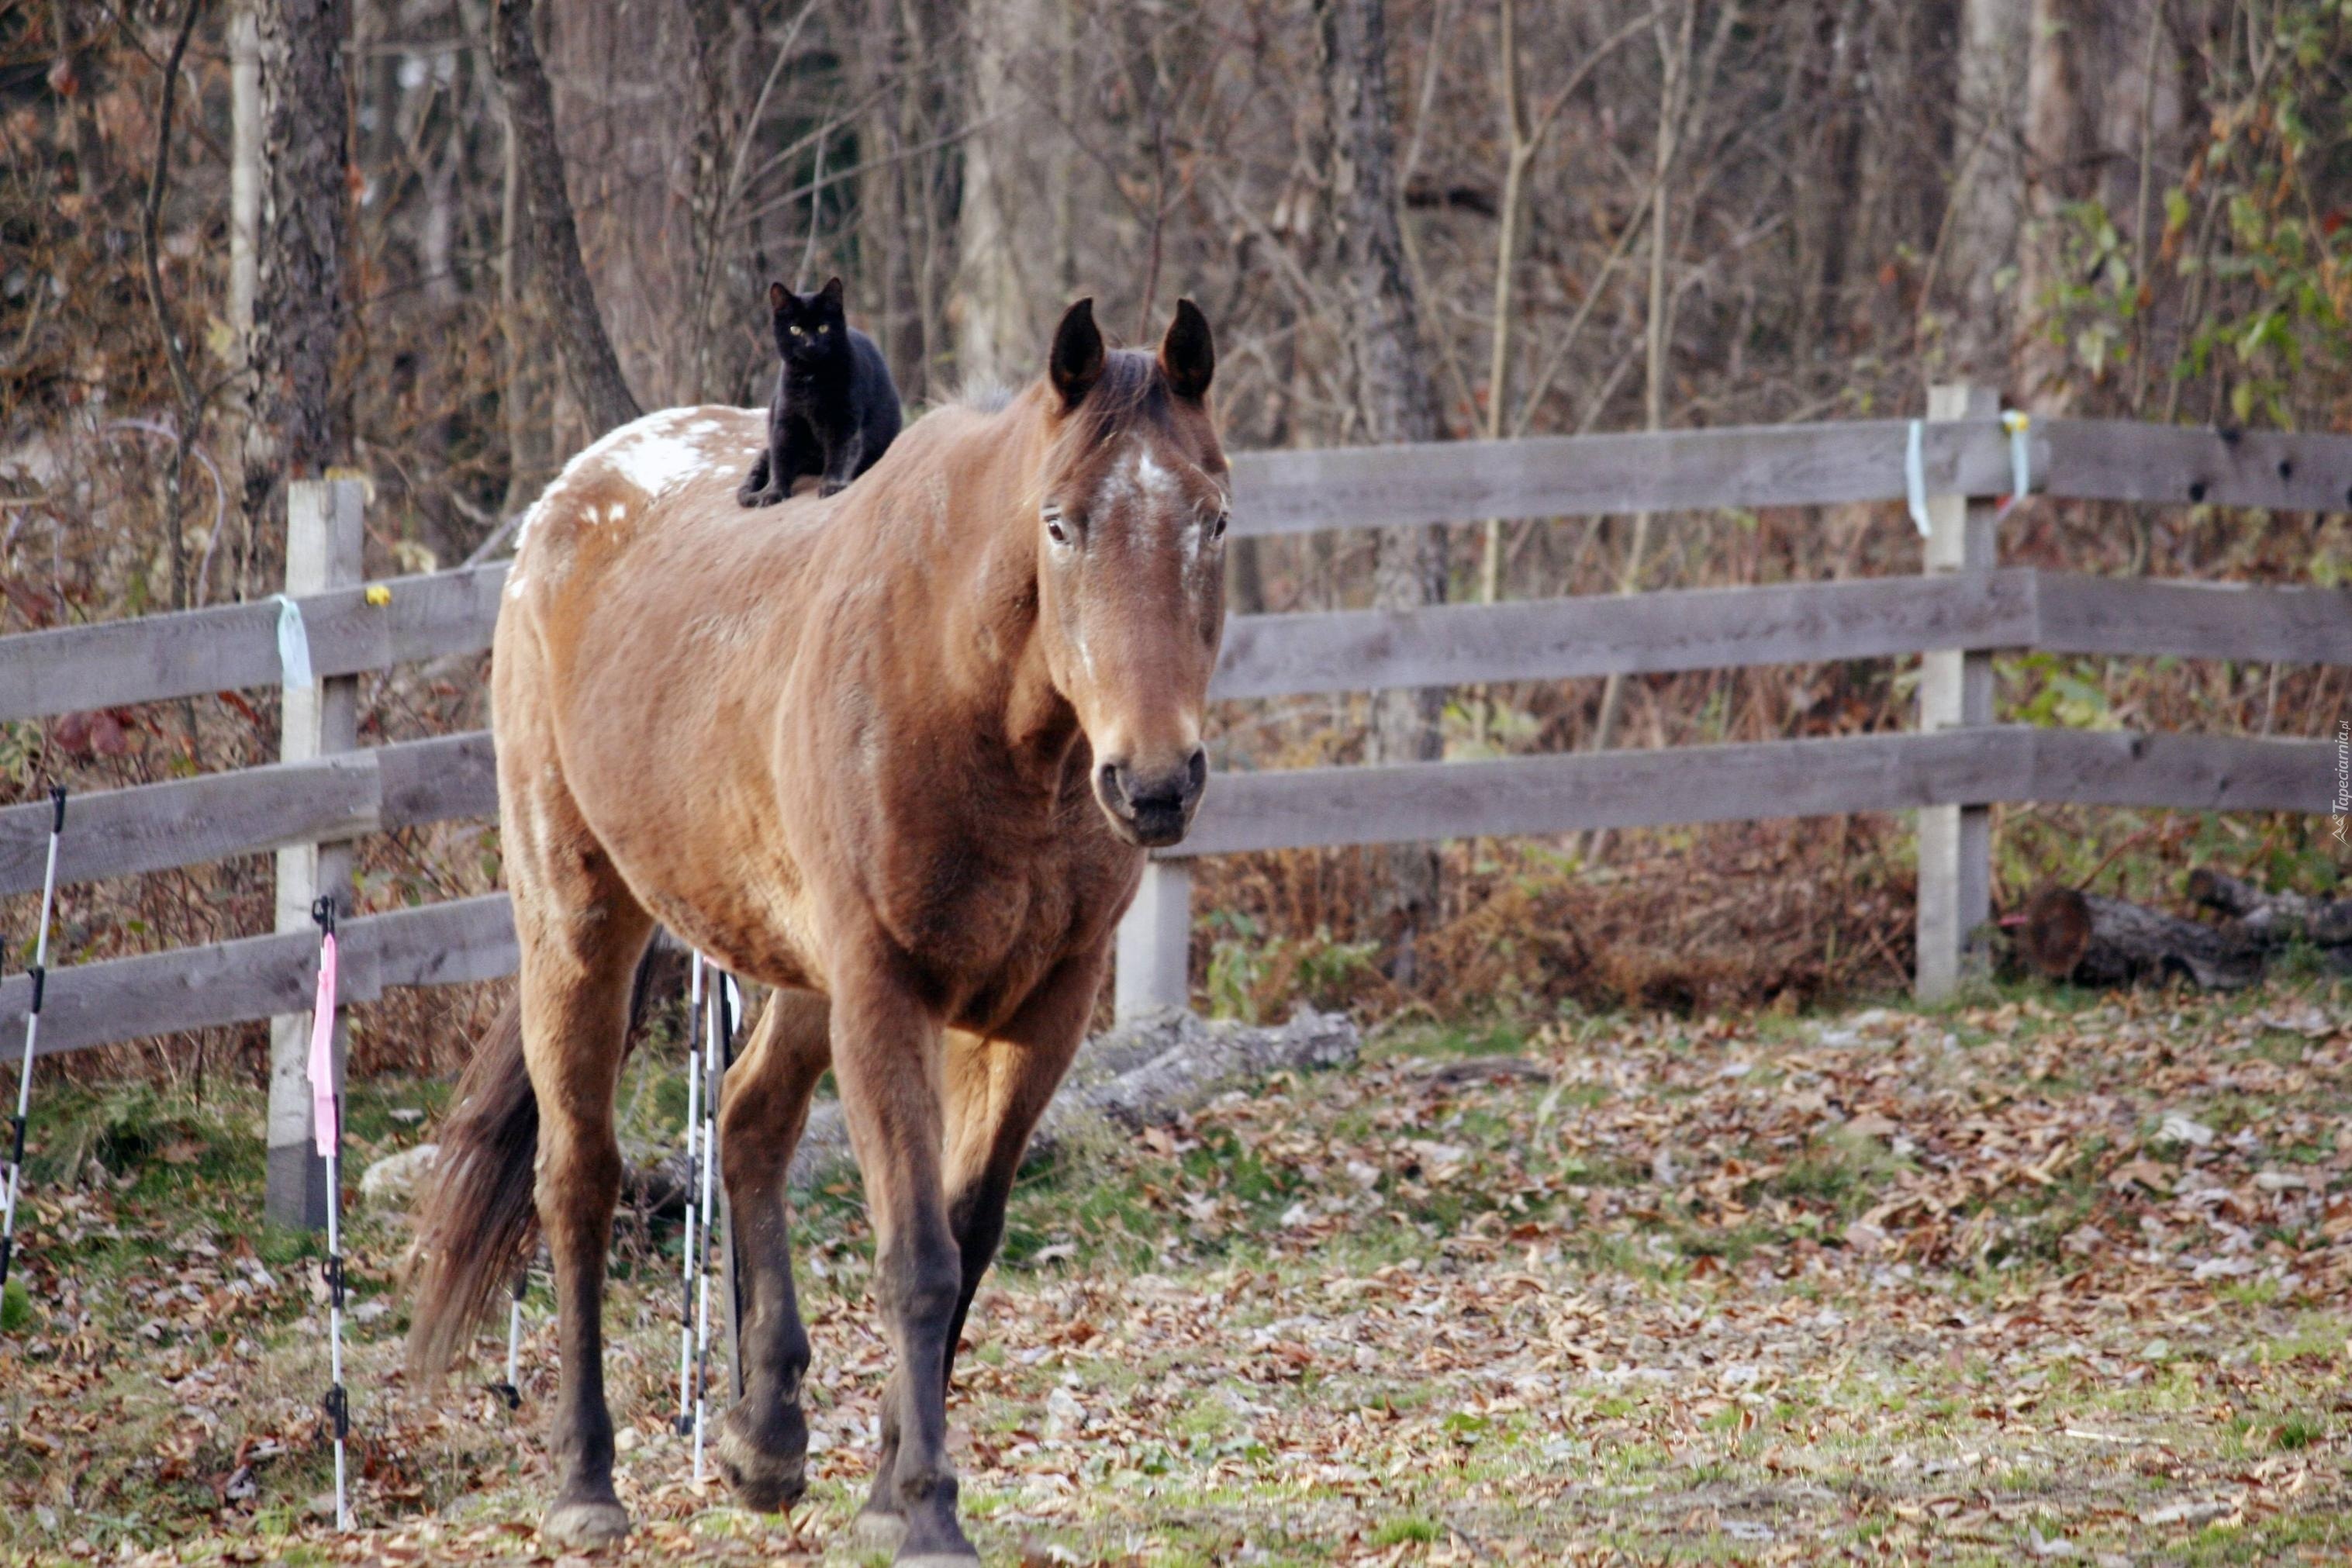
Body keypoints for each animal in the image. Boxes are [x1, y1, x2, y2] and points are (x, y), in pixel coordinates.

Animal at [406, 301, 1232, 1560]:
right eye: (1060, 524)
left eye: (1214, 520)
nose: (1154, 782)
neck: (974, 699)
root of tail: (569, 500)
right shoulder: (889, 995)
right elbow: (918, 1259)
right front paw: (927, 1507)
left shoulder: (1038, 1013)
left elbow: (967, 1242)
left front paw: (887, 1482)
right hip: (577, 922)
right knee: (578, 1178)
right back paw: (587, 1480)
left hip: (795, 969)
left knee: (747, 1122)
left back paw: (764, 1439)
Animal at [738, 276, 903, 505]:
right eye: (795, 329)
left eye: (824, 327)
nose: (810, 344)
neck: (812, 377)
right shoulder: (786, 419)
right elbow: (781, 459)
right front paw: (773, 493)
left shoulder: (844, 420)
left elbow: (840, 455)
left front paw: (832, 486)